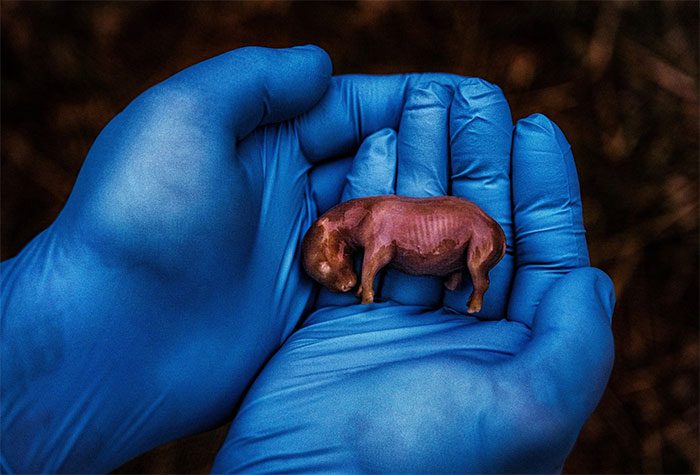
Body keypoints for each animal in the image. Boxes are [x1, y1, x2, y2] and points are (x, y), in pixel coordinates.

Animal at [304, 195, 506, 314]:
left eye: (323, 264)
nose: (347, 286)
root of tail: (502, 236)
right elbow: (367, 270)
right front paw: (360, 291)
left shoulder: (380, 243)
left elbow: (369, 268)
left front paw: (365, 302)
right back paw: (450, 287)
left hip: (483, 240)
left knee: (478, 273)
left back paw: (471, 309)